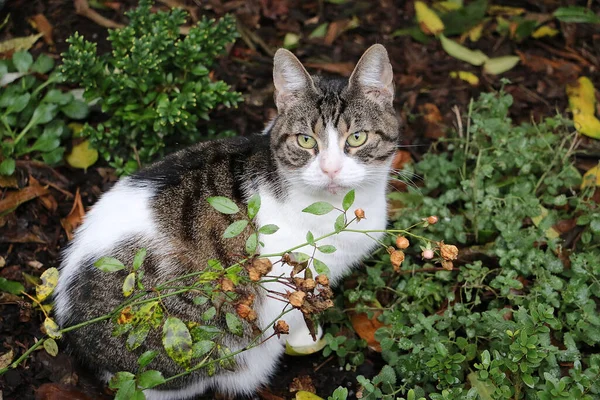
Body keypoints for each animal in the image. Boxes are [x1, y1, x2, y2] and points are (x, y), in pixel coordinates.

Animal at [54, 44, 400, 400]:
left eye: (357, 137)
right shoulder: (289, 277)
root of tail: (71, 327)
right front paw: (305, 337)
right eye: (305, 140)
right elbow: (294, 310)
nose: (331, 169)